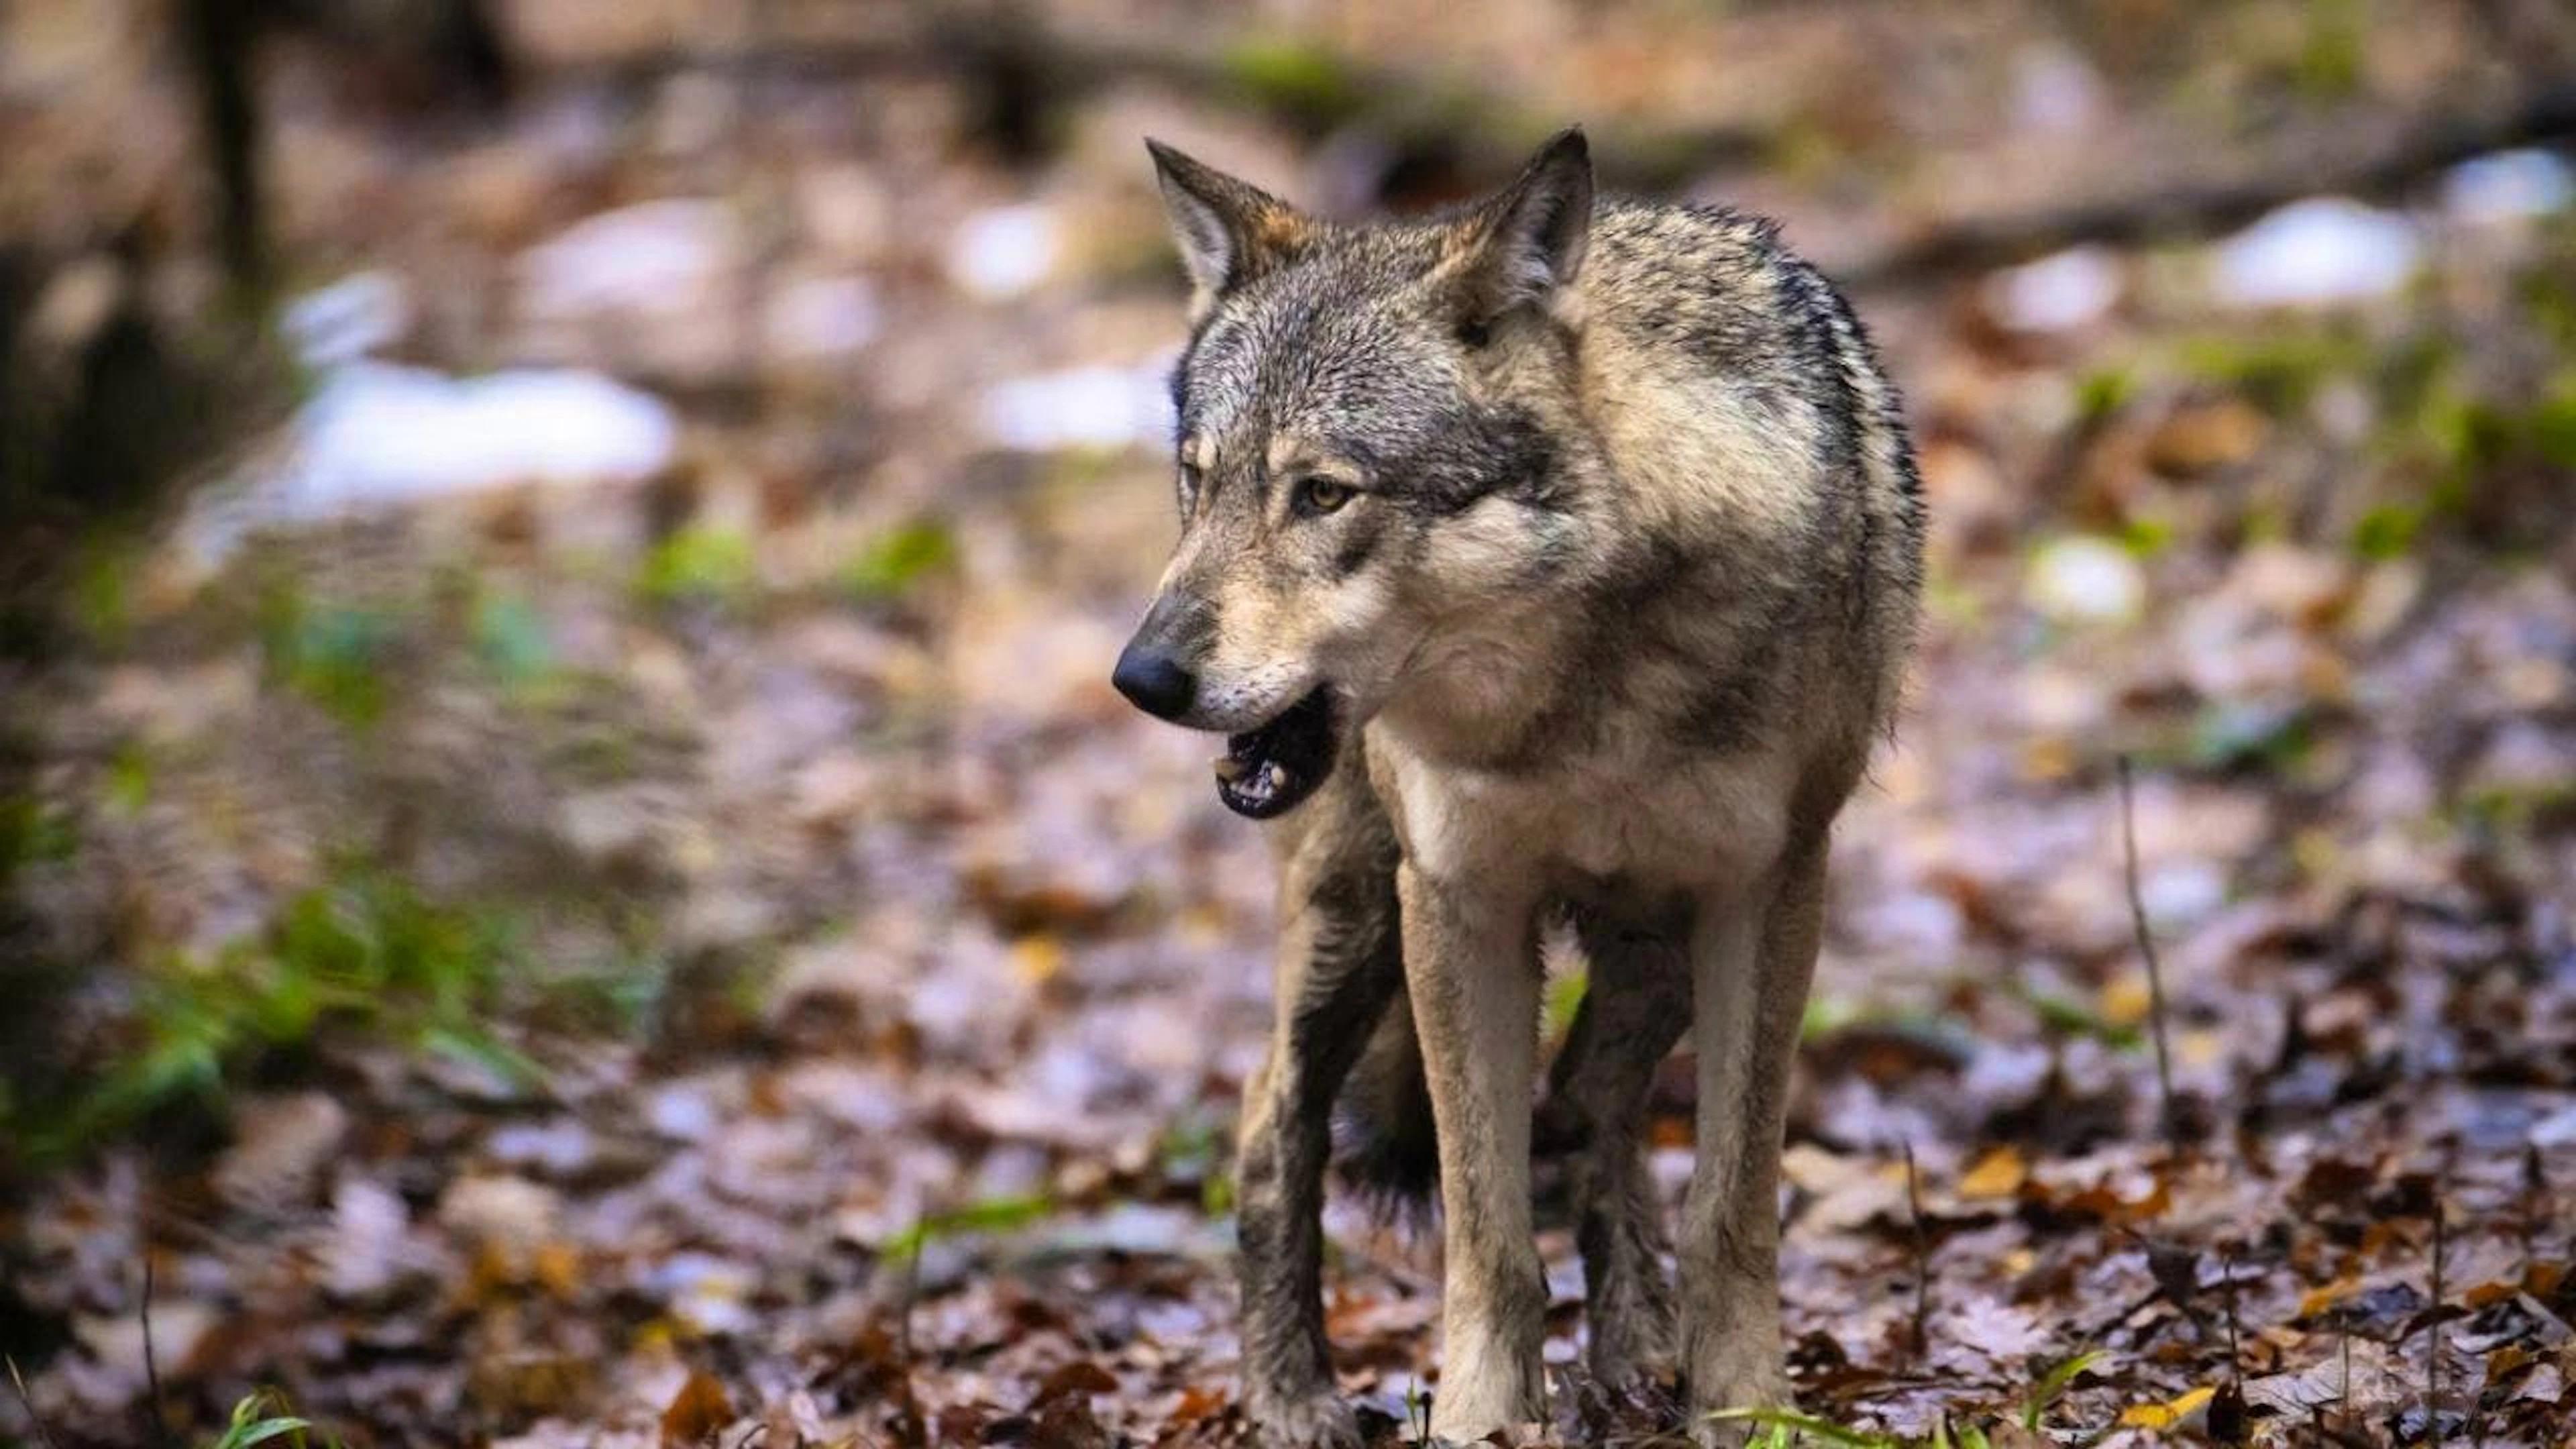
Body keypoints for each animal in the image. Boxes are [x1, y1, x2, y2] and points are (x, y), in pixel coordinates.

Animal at [1113, 127, 1923, 1446]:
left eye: (1322, 493)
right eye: (1199, 481)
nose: (1141, 677)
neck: (1578, 701)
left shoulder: (1768, 893)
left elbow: (1732, 1206)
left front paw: (1744, 1408)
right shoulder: (1457, 902)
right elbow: (1486, 1229)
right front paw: (1481, 1420)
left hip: (1651, 952)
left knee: (1590, 1104)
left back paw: (1637, 1346)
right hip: (1355, 922)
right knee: (1269, 1122)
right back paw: (1292, 1401)